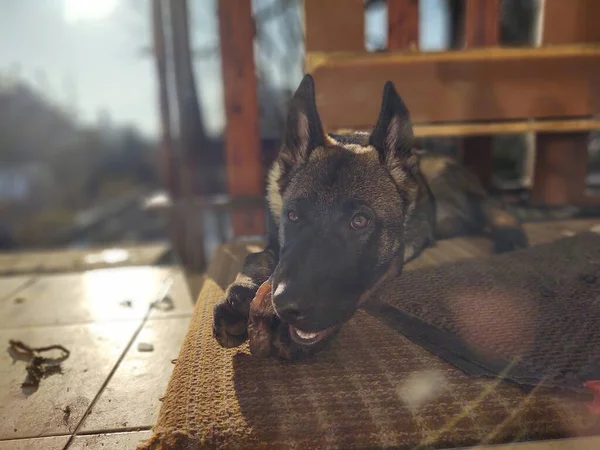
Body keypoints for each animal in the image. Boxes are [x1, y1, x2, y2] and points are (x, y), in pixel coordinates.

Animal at [210, 73, 524, 356]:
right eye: (293, 216)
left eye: (360, 222)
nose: (287, 307)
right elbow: (257, 257)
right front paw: (239, 294)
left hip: (444, 178)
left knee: (494, 210)